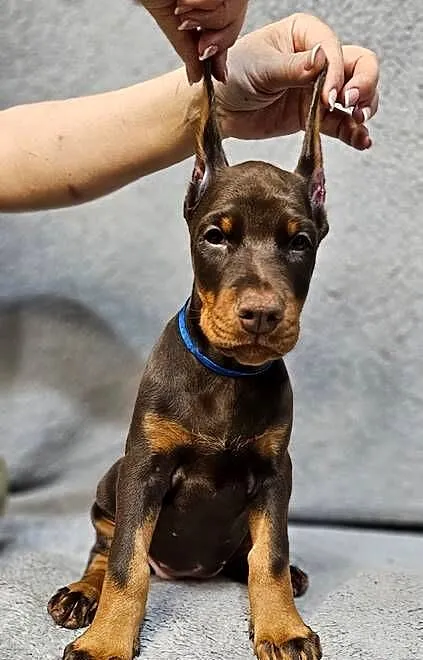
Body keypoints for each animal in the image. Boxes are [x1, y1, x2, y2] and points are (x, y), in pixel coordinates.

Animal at [48, 59, 329, 660]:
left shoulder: (275, 472)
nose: (261, 314)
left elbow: (268, 557)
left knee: (248, 558)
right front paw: (105, 641)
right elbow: (126, 564)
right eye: (215, 237)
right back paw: (82, 595)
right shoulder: (145, 467)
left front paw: (282, 628)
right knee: (104, 550)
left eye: (300, 242)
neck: (227, 373)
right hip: (111, 480)